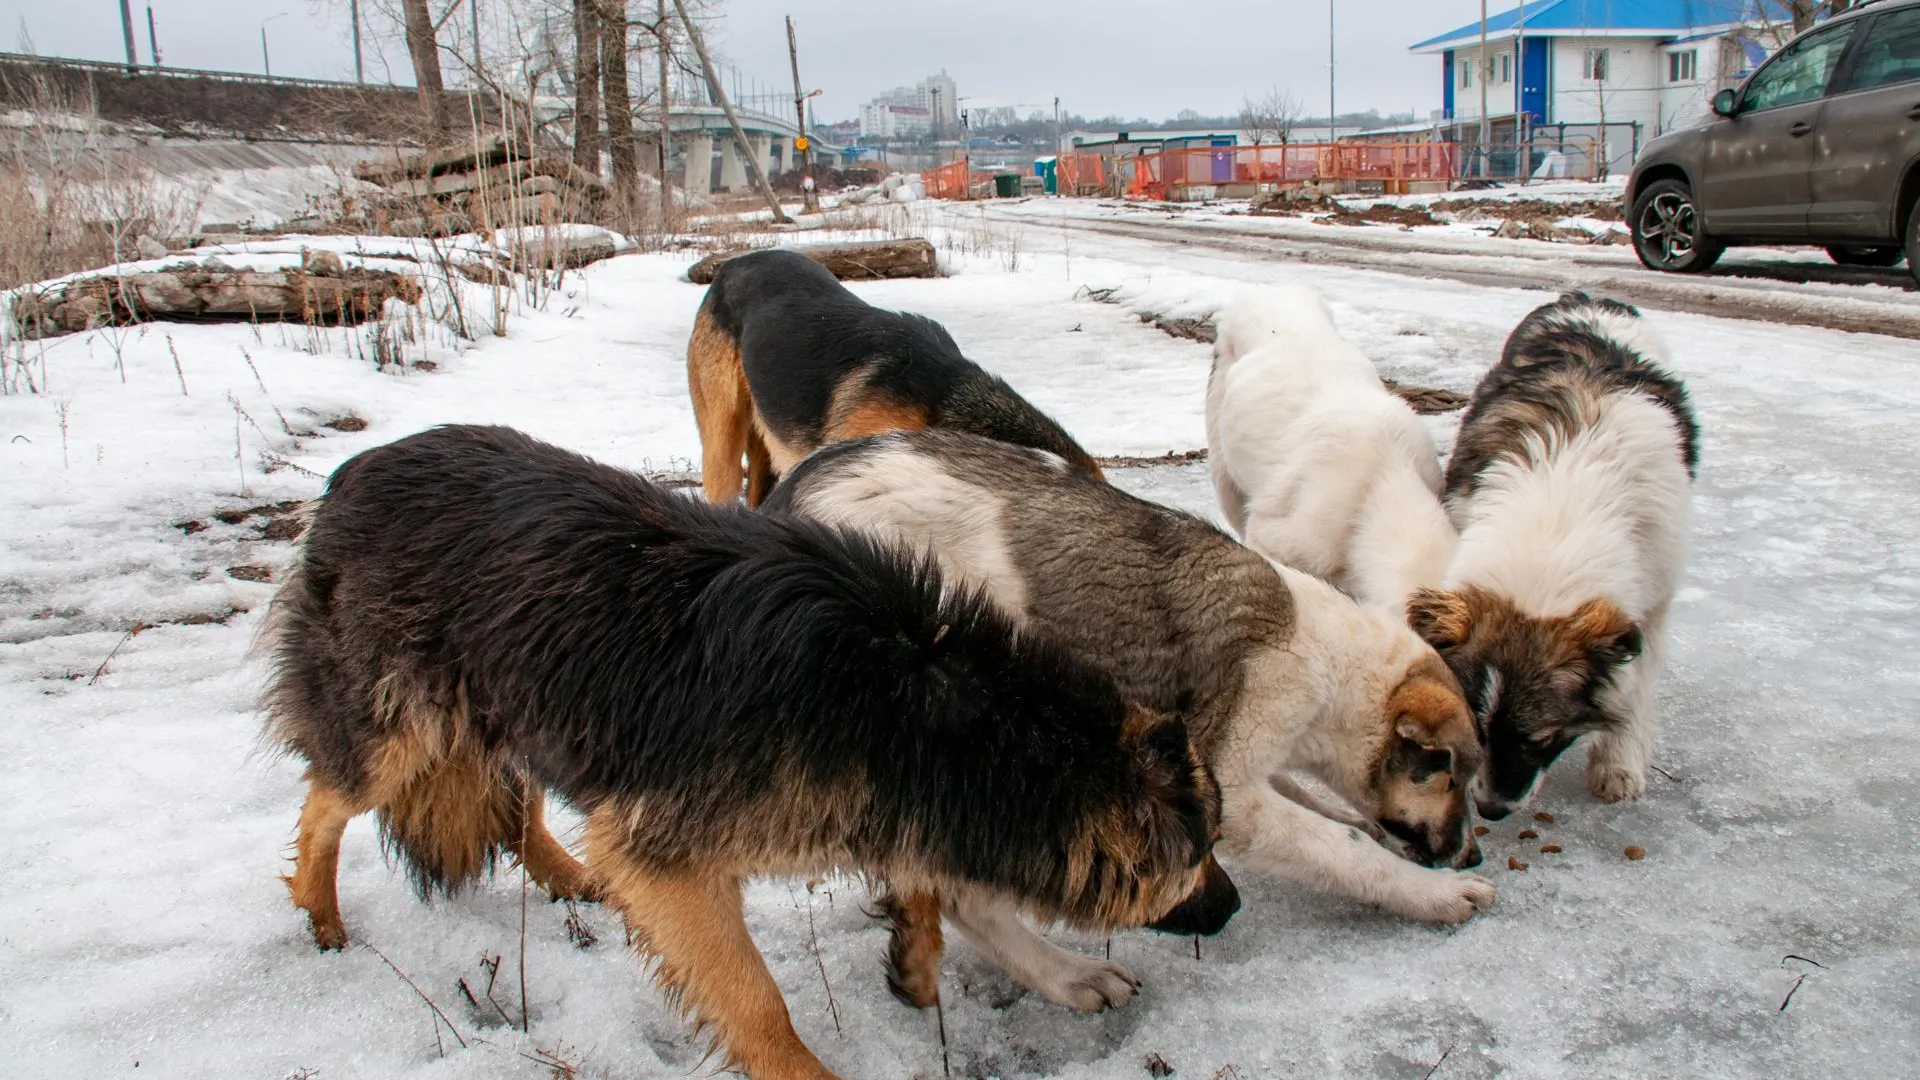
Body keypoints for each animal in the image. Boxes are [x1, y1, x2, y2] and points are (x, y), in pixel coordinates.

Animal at [259, 424, 1228, 1076]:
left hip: (521, 700)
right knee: (324, 804)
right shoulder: (668, 863)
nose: (1234, 908)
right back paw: (321, 915)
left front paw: (921, 958)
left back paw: (567, 874)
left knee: (516, 800)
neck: (911, 691)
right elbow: (758, 1003)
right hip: (400, 726)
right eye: (1200, 853)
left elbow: (927, 884)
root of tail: (358, 469)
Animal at [771, 426, 1489, 1006]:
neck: (1328, 661)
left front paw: (1351, 818)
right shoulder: (1235, 784)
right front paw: (1434, 895)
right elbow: (1339, 848)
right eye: (1449, 775)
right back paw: (1069, 976)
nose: (1473, 856)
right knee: (963, 893)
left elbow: (1316, 806)